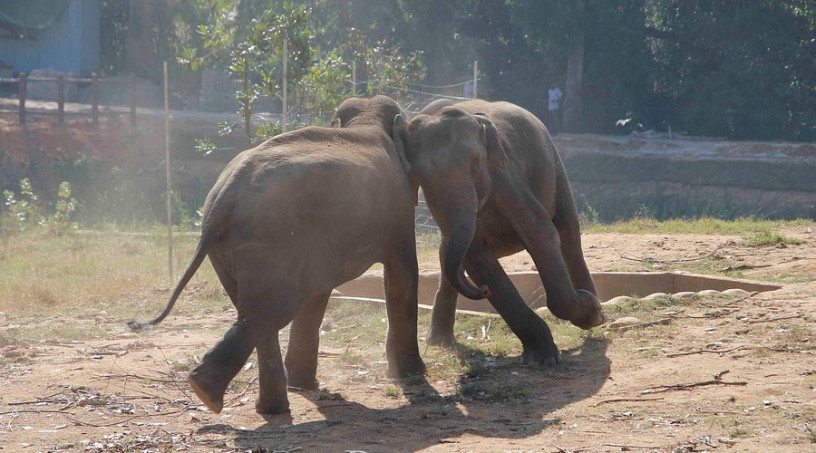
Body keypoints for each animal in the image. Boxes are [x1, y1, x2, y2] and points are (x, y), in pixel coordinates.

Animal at [130, 94, 424, 414]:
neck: (366, 121)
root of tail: (227, 190)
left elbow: (318, 292)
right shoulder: (398, 210)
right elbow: (402, 276)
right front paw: (414, 375)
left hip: (237, 246)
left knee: (257, 311)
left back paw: (252, 403)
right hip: (271, 238)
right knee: (272, 309)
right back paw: (213, 394)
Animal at [392, 98, 608, 364]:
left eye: (476, 164)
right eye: (420, 177)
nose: (483, 290)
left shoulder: (506, 178)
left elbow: (541, 233)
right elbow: (476, 258)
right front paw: (541, 357)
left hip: (555, 166)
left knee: (568, 231)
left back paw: (597, 313)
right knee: (448, 253)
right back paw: (439, 341)